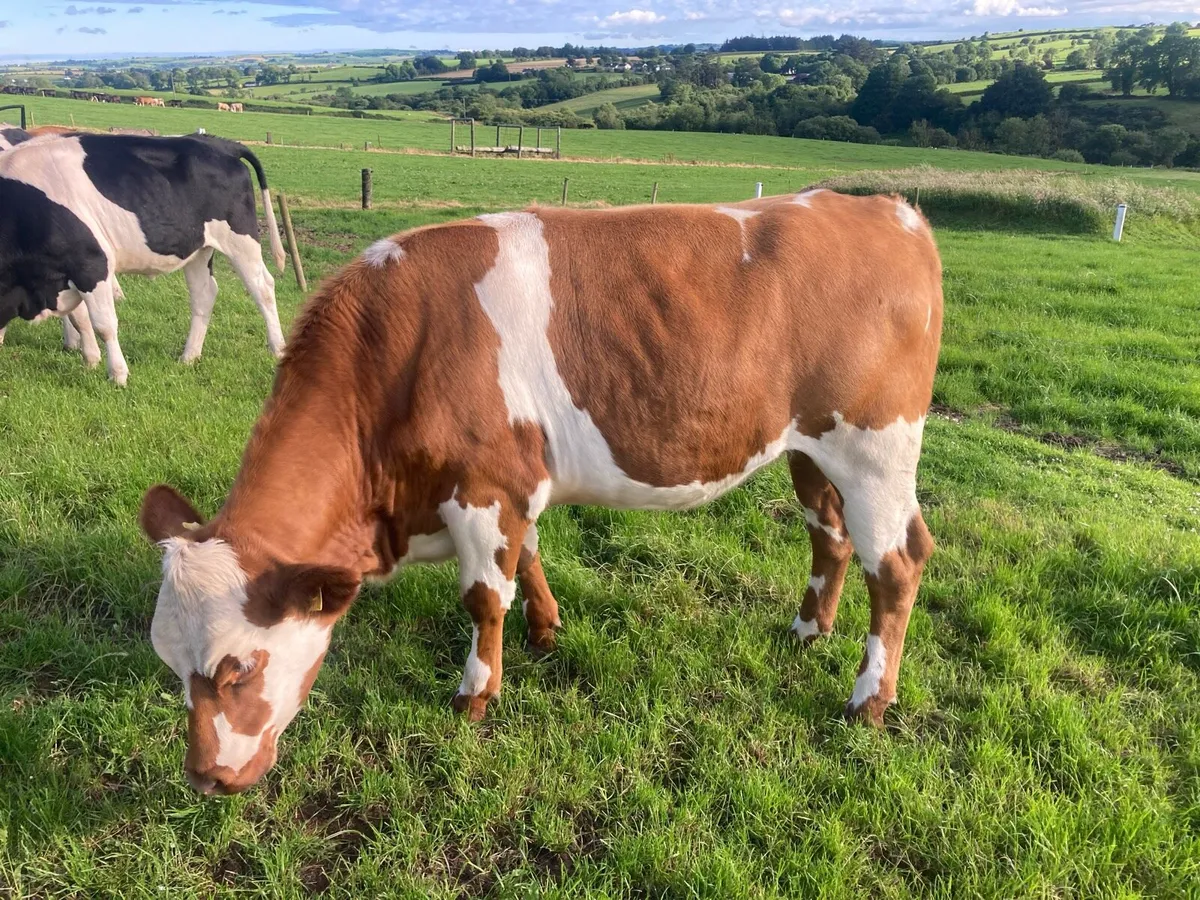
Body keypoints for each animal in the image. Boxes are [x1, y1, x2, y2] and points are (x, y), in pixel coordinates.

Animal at [0, 133, 287, 384]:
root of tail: (220, 144)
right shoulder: (65, 273)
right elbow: (79, 319)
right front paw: (90, 361)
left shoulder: (92, 264)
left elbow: (104, 324)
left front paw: (117, 375)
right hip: (199, 249)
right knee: (204, 295)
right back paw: (189, 356)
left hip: (241, 240)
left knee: (263, 288)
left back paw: (278, 348)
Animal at [138, 188, 944, 794]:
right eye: (170, 663)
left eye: (237, 669)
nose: (205, 778)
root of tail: (883, 207)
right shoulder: (512, 487)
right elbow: (525, 559)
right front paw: (546, 629)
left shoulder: (485, 485)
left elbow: (481, 597)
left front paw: (476, 694)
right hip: (809, 449)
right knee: (829, 535)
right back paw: (809, 630)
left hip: (875, 448)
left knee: (897, 564)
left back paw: (869, 699)